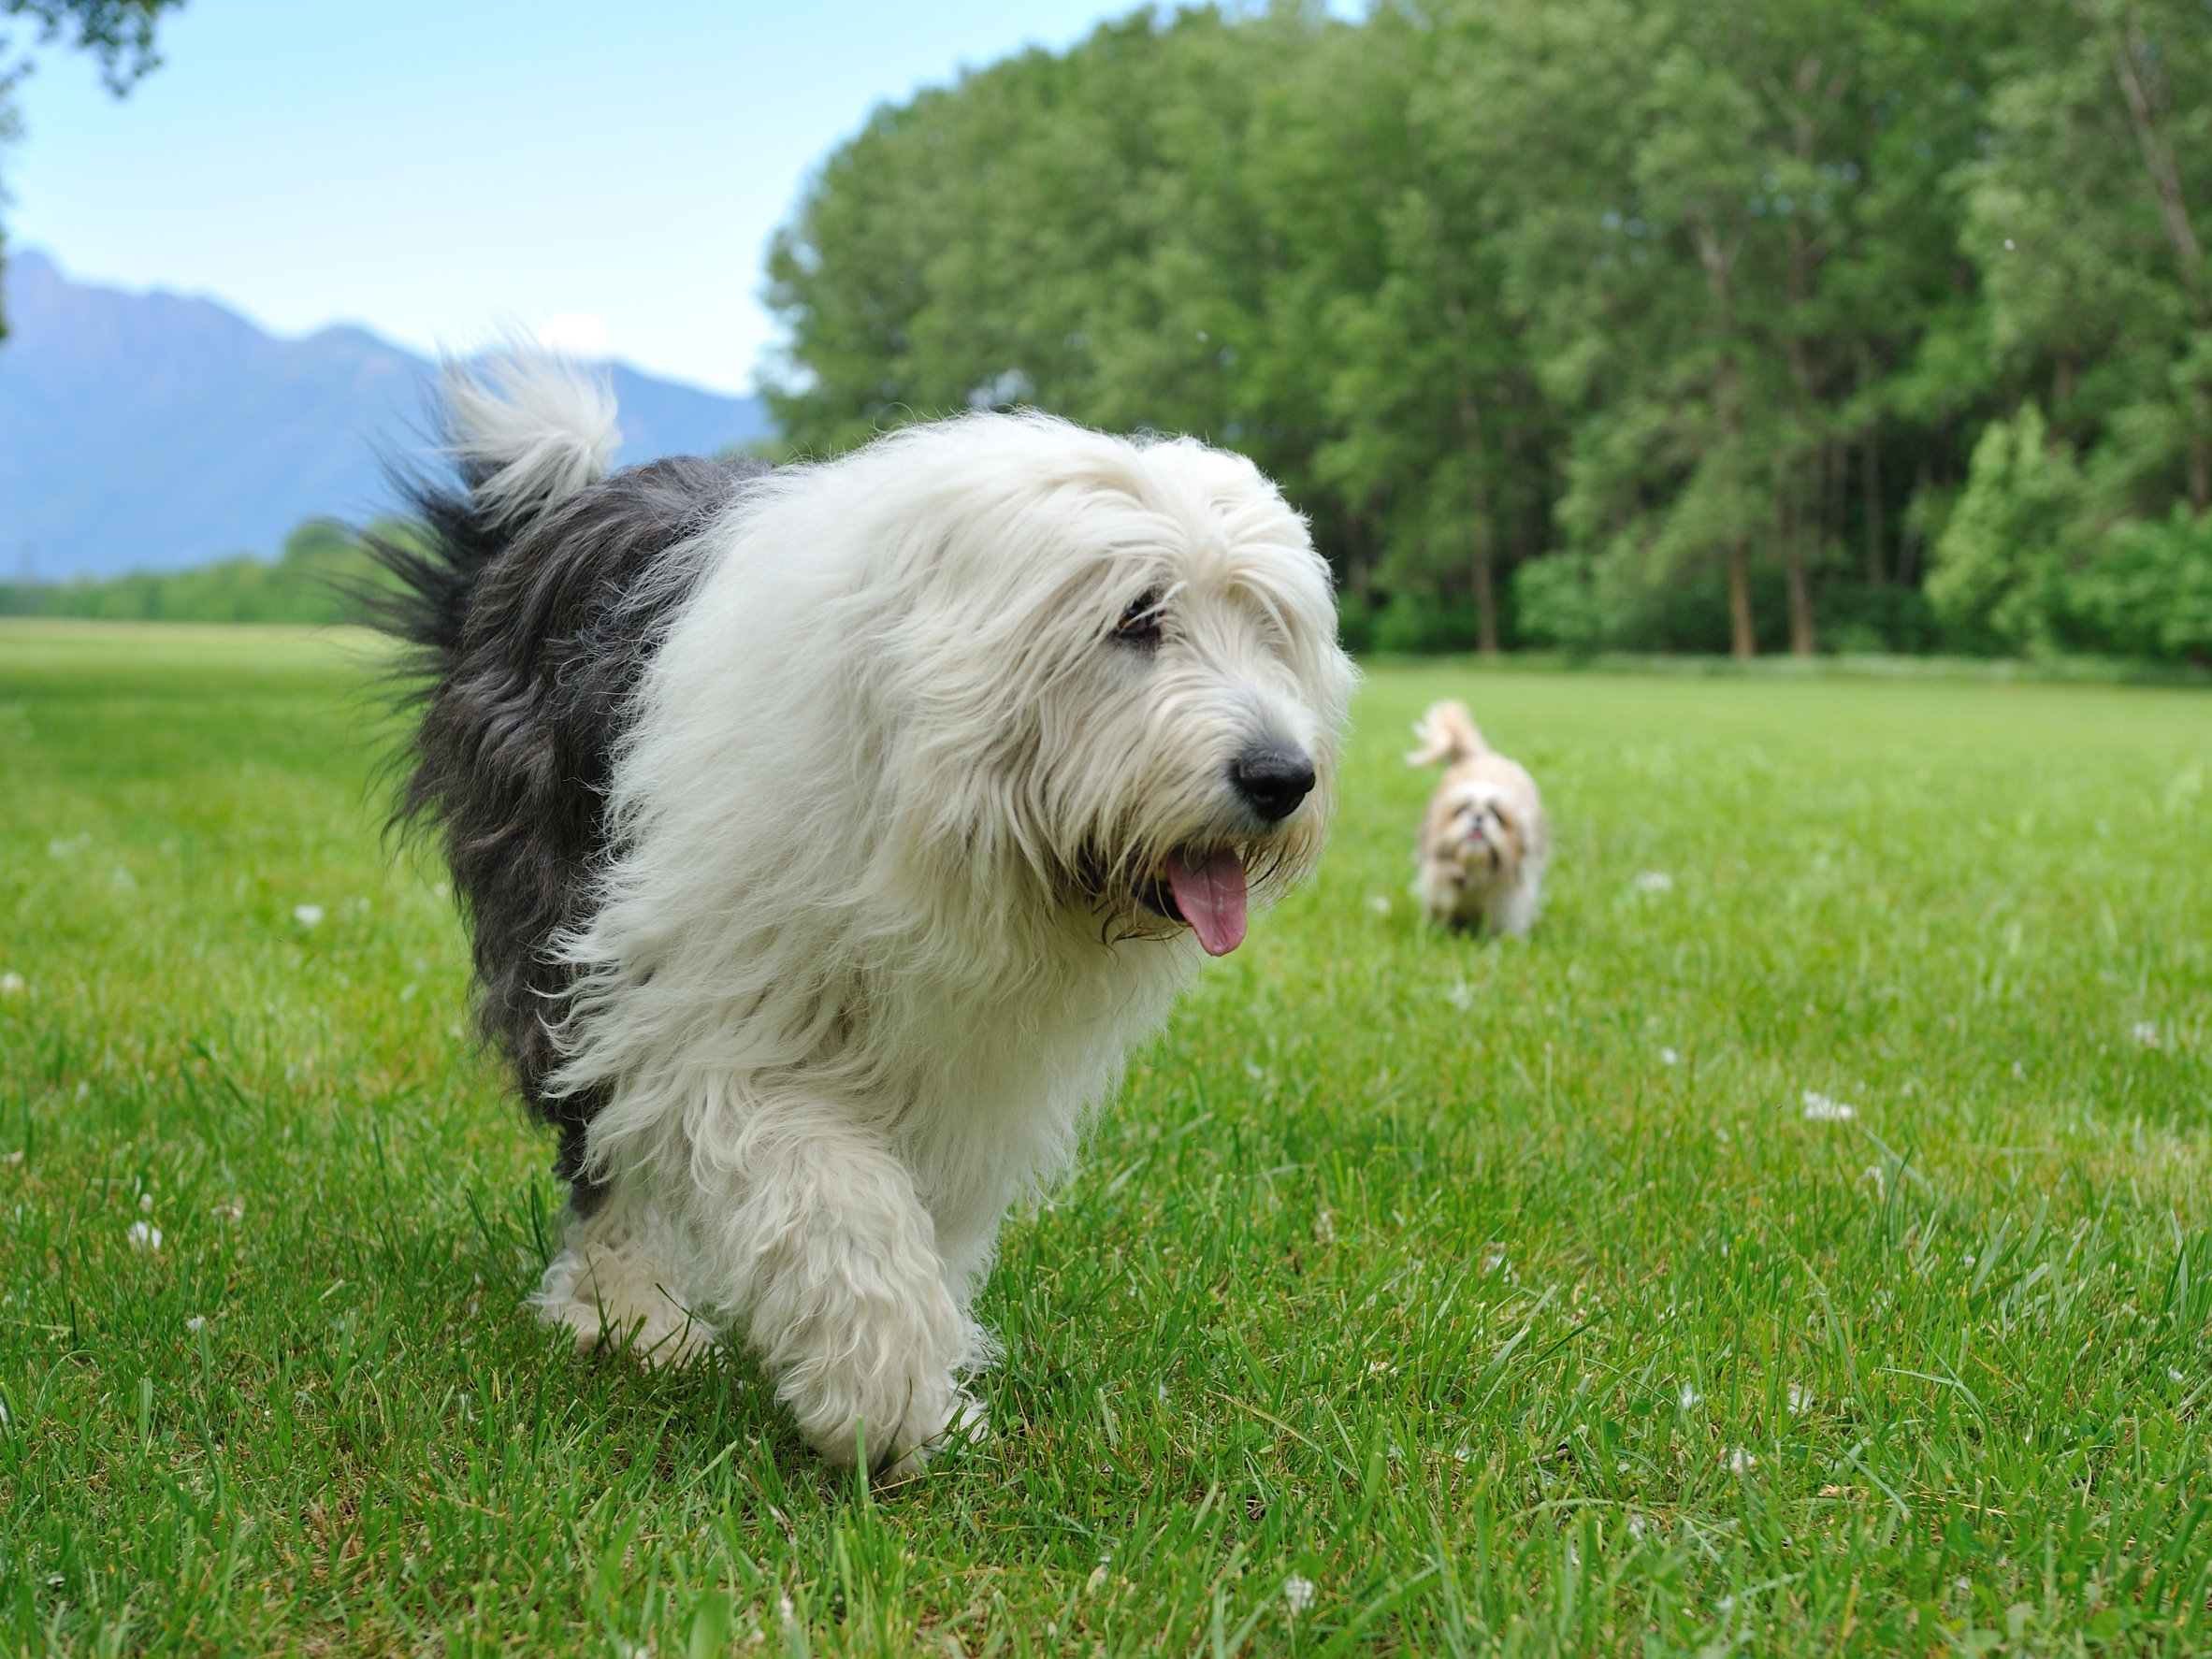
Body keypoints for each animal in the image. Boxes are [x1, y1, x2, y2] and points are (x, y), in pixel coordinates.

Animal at [371, 358, 1353, 1478]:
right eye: (1137, 618)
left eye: (1270, 628)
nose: (1281, 777)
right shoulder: (710, 1010)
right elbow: (830, 1192)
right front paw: (881, 1390)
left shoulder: (966, 1068)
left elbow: (926, 1212)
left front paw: (921, 1381)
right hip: (563, 935)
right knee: (601, 1153)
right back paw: (625, 1312)